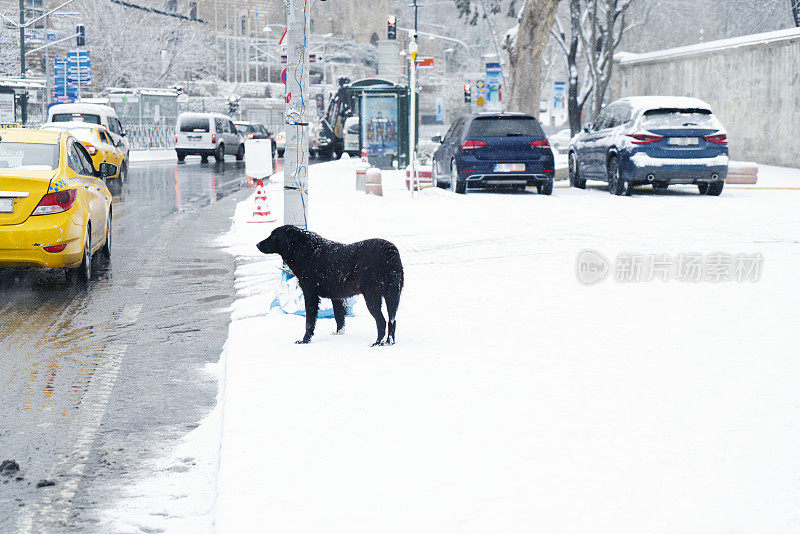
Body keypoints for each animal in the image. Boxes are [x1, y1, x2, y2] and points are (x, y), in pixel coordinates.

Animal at [256, 226, 404, 348]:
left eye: (274, 235)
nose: (257, 244)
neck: (307, 251)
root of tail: (389, 250)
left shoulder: (310, 294)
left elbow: (309, 321)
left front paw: (305, 341)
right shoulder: (337, 298)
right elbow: (340, 319)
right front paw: (338, 336)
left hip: (372, 297)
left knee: (382, 321)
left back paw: (377, 343)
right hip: (392, 296)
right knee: (392, 321)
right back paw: (389, 342)